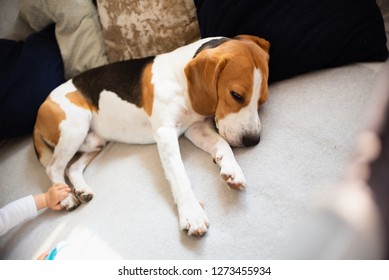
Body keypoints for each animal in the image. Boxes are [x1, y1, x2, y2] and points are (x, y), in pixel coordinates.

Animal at [33, 35, 270, 236]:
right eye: (236, 95)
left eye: (262, 100)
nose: (253, 140)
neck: (181, 81)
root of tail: (40, 109)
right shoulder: (166, 134)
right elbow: (179, 175)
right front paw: (191, 212)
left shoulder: (194, 128)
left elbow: (223, 144)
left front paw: (232, 169)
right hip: (75, 126)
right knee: (53, 168)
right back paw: (65, 198)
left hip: (96, 142)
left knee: (72, 167)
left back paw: (81, 189)